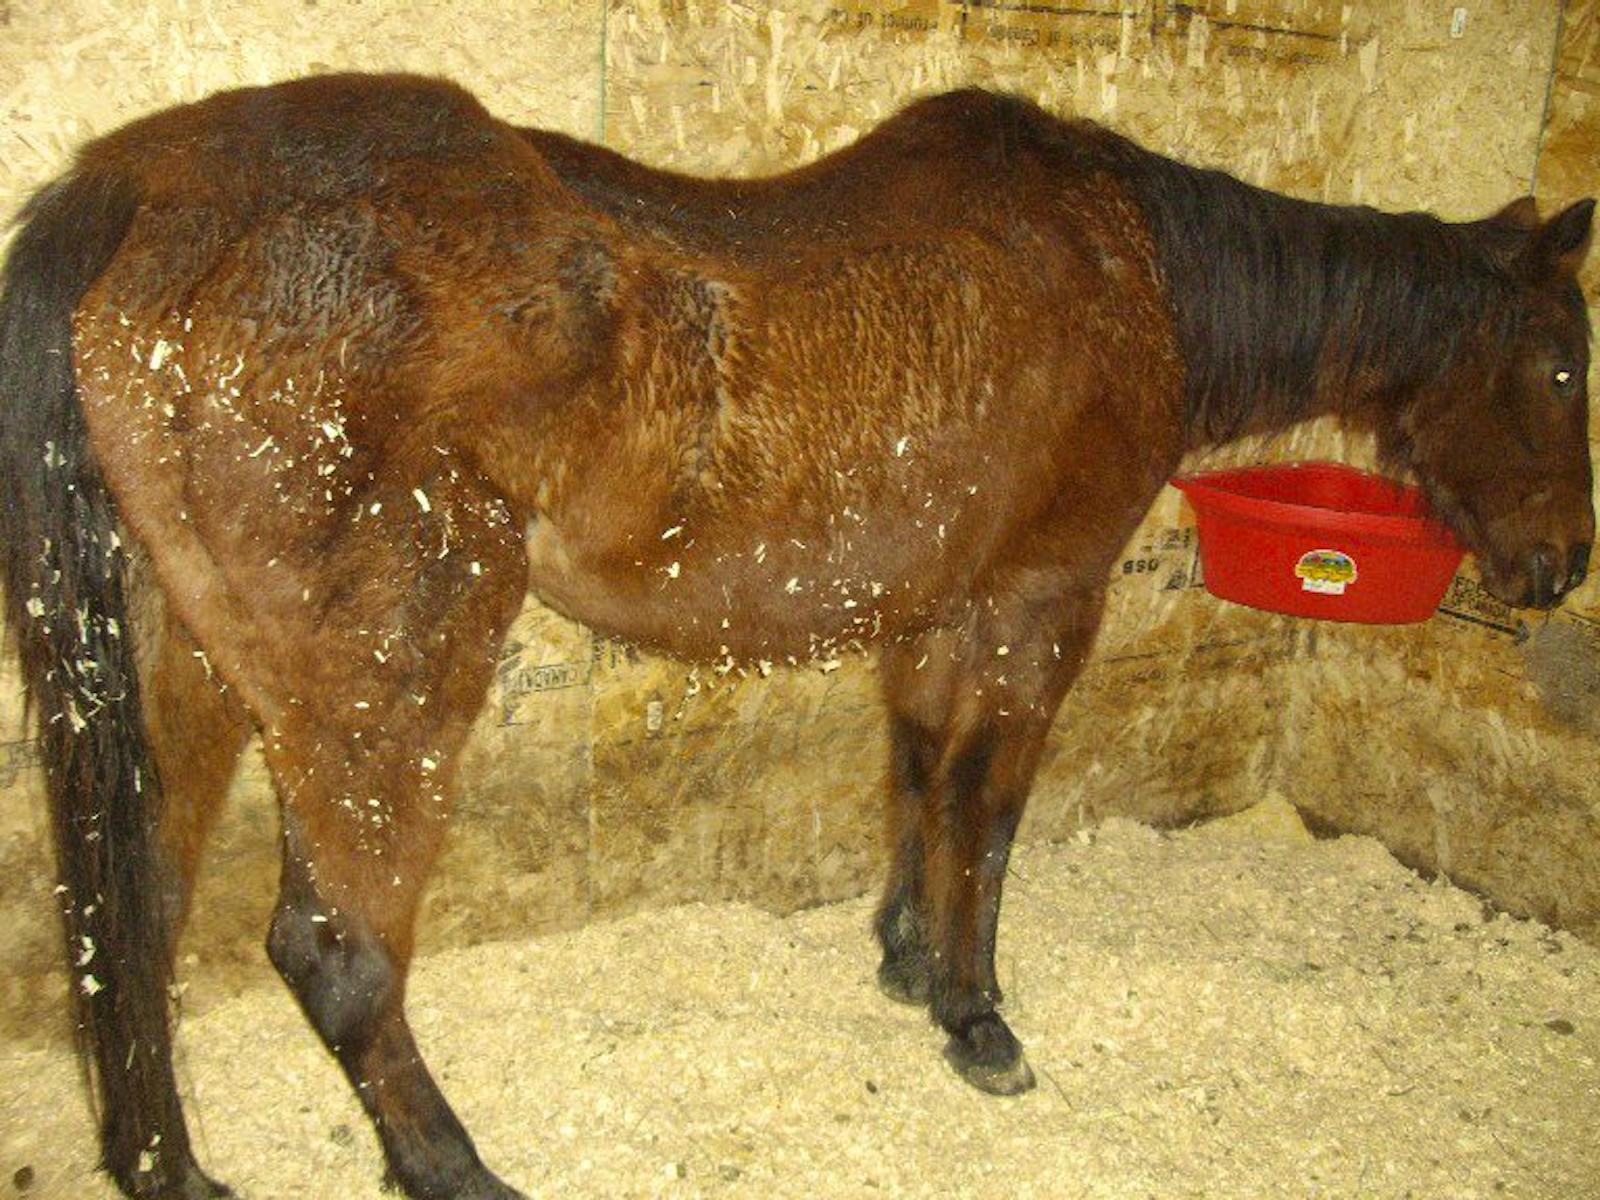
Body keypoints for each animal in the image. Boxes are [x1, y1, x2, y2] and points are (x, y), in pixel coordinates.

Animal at [0, 72, 1591, 1200]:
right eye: (1568, 363)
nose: (1560, 567)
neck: (1132, 274)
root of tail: (142, 184)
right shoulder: (1044, 601)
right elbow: (989, 811)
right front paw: (975, 1015)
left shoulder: (940, 606)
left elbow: (920, 776)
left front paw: (903, 960)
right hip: (385, 691)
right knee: (335, 955)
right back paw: (455, 1169)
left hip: (187, 676)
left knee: (129, 919)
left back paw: (172, 1170)